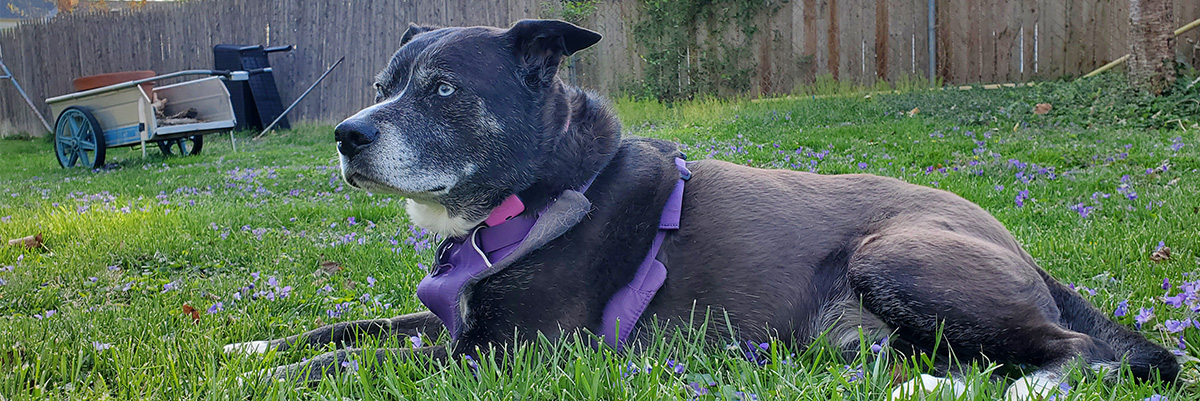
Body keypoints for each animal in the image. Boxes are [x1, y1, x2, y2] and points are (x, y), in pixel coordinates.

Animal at [226, 19, 1180, 398]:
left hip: (896, 253)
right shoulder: (455, 321)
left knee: (1081, 352)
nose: (346, 135)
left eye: (444, 89)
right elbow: (346, 328)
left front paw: (261, 377)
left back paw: (1006, 385)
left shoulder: (513, 351)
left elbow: (357, 360)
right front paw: (249, 345)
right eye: (382, 84)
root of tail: (1012, 240)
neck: (539, 194)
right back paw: (928, 379)